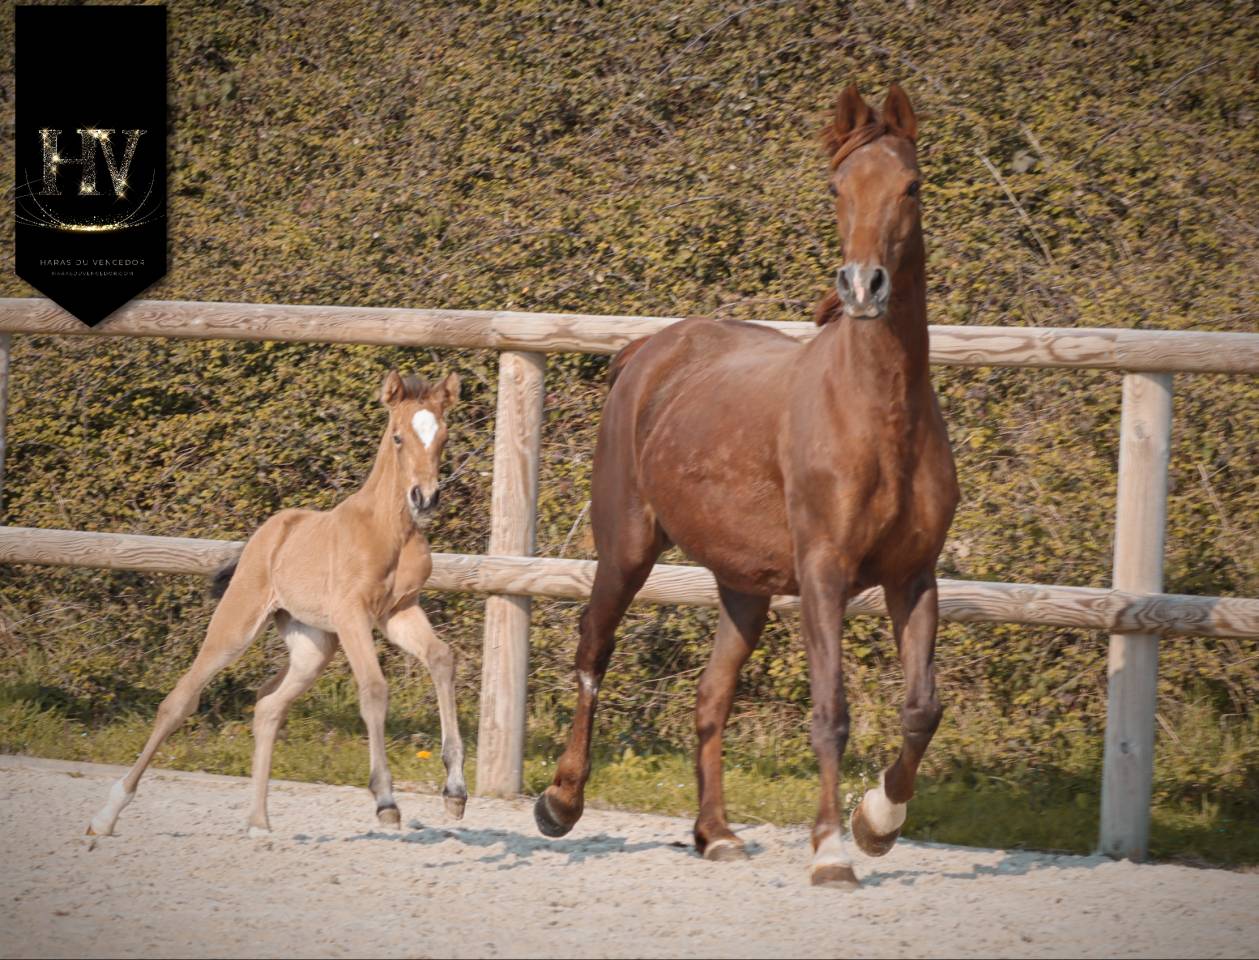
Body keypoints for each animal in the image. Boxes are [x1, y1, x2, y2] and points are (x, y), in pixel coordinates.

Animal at [88, 370, 469, 838]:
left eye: (444, 436)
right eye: (398, 436)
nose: (424, 498)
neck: (389, 530)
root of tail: (267, 533)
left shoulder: (398, 611)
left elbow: (442, 659)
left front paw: (455, 794)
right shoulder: (353, 613)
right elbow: (374, 688)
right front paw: (385, 800)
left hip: (312, 646)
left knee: (268, 707)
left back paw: (258, 824)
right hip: (237, 625)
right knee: (179, 702)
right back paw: (105, 817)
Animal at [533, 83, 958, 889]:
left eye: (912, 186)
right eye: (836, 188)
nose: (863, 286)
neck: (880, 414)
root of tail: (648, 350)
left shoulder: (913, 575)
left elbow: (922, 709)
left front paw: (876, 822)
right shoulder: (824, 574)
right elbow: (831, 711)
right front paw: (830, 851)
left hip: (744, 587)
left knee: (710, 694)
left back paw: (716, 833)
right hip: (626, 550)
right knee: (592, 652)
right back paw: (560, 802)